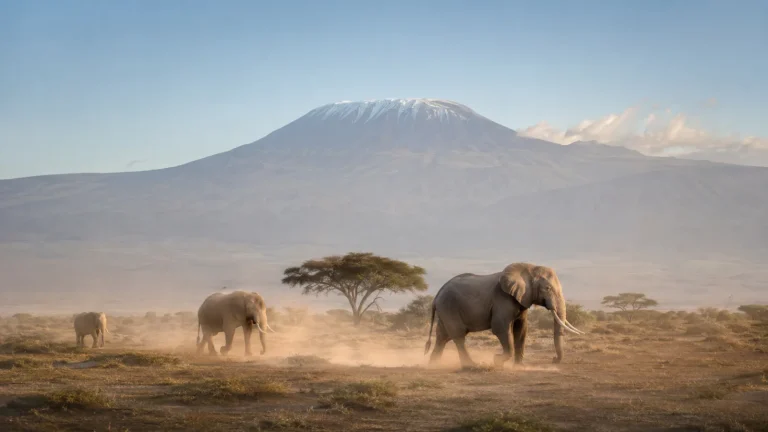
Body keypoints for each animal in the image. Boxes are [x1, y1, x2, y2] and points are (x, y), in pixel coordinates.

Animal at [424, 262, 584, 368]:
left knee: (442, 336)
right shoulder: (502, 299)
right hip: (449, 306)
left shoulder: (522, 299)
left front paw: (519, 366)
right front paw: (497, 361)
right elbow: (501, 328)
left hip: (446, 309)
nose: (553, 359)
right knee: (458, 336)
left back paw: (433, 365)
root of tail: (437, 295)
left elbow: (521, 329)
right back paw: (471, 365)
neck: (529, 269)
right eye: (548, 288)